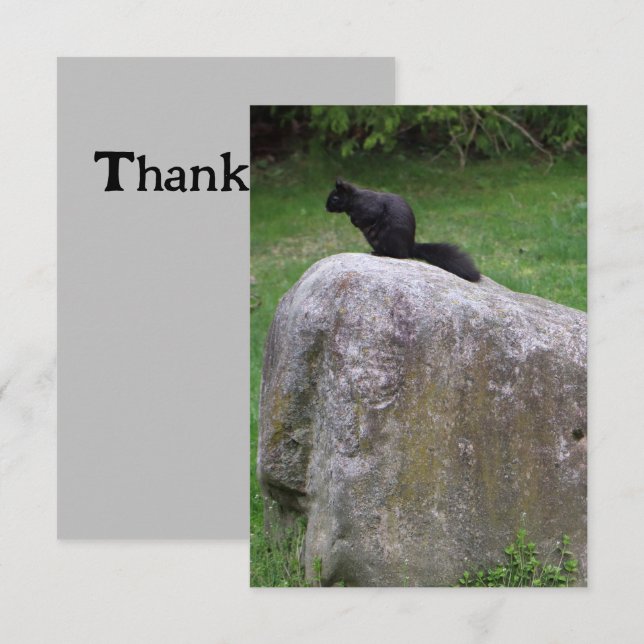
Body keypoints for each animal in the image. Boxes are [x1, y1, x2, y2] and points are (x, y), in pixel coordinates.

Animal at [325, 178, 480, 282]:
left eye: (335, 198)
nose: (326, 208)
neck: (354, 199)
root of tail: (410, 247)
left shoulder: (370, 208)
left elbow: (366, 217)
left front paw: (355, 221)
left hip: (390, 238)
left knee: (400, 255)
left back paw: (382, 254)